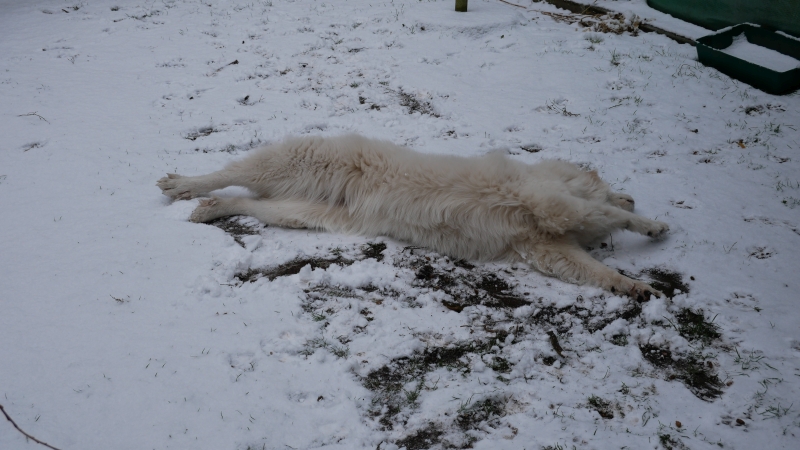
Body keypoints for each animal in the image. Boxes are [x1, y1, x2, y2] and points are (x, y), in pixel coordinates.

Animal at [158, 135, 668, 300]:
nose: (630, 197)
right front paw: (647, 224)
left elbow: (596, 269)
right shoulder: (550, 203)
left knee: (246, 202)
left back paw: (210, 208)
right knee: (228, 172)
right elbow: (597, 212)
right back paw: (182, 184)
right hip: (287, 163)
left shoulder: (549, 249)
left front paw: (635, 287)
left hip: (300, 212)